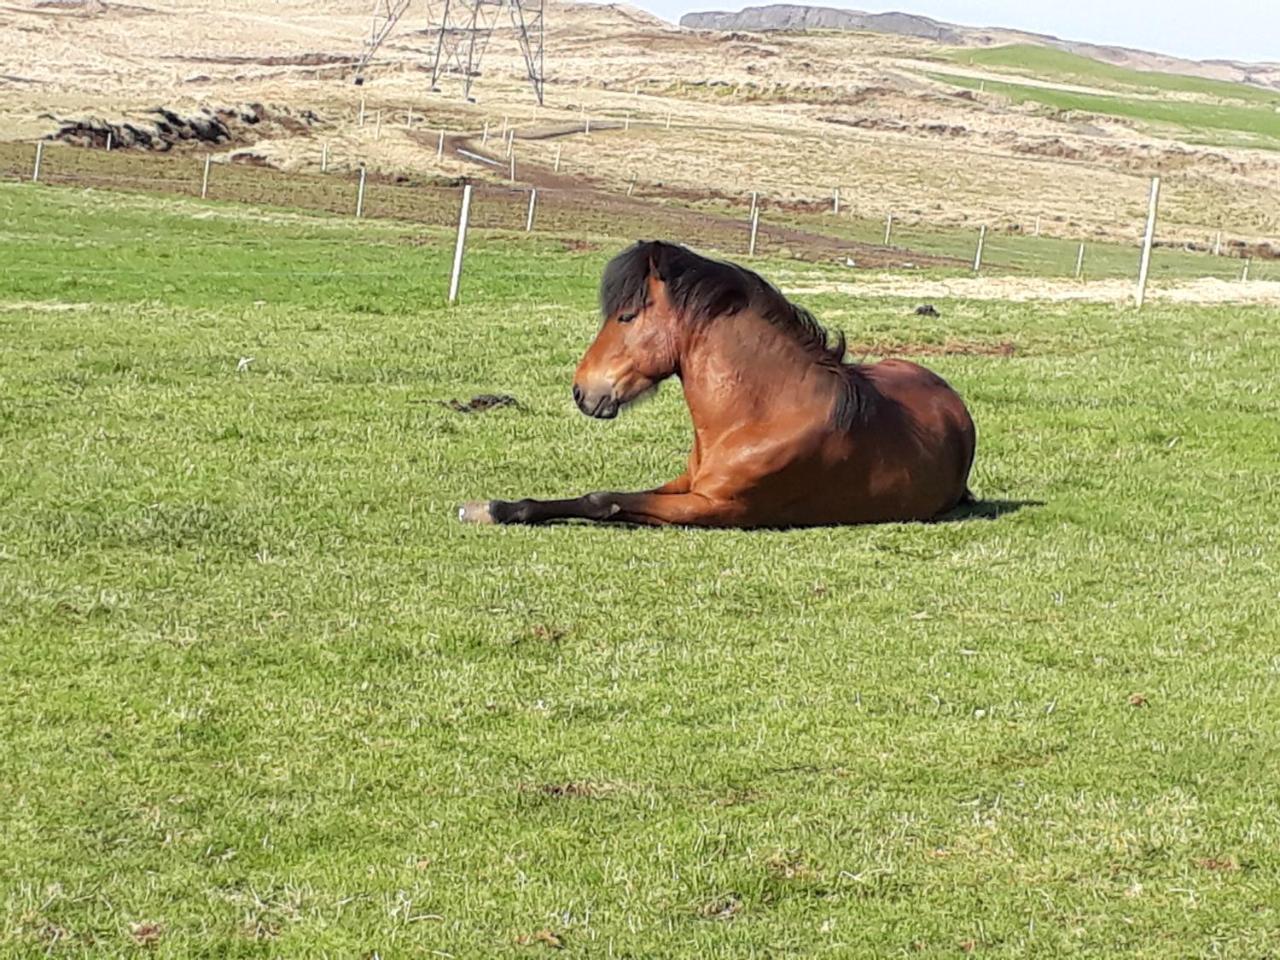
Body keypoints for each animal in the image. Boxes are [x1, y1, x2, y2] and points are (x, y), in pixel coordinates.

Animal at [465, 239, 972, 527]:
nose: (581, 391)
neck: (763, 415)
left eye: (626, 316)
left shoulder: (715, 507)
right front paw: (493, 507)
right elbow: (606, 498)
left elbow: (603, 500)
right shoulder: (686, 484)